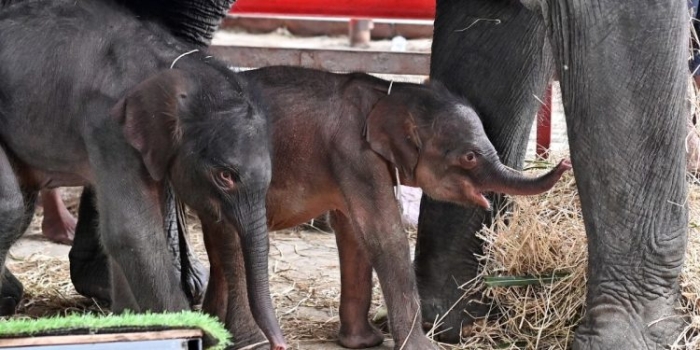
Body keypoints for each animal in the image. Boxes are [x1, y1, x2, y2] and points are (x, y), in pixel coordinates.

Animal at [206, 66, 568, 350]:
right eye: (469, 156)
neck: (390, 91)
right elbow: (383, 234)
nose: (564, 163)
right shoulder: (354, 153)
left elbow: (353, 234)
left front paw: (363, 343)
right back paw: (248, 341)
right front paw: (424, 348)